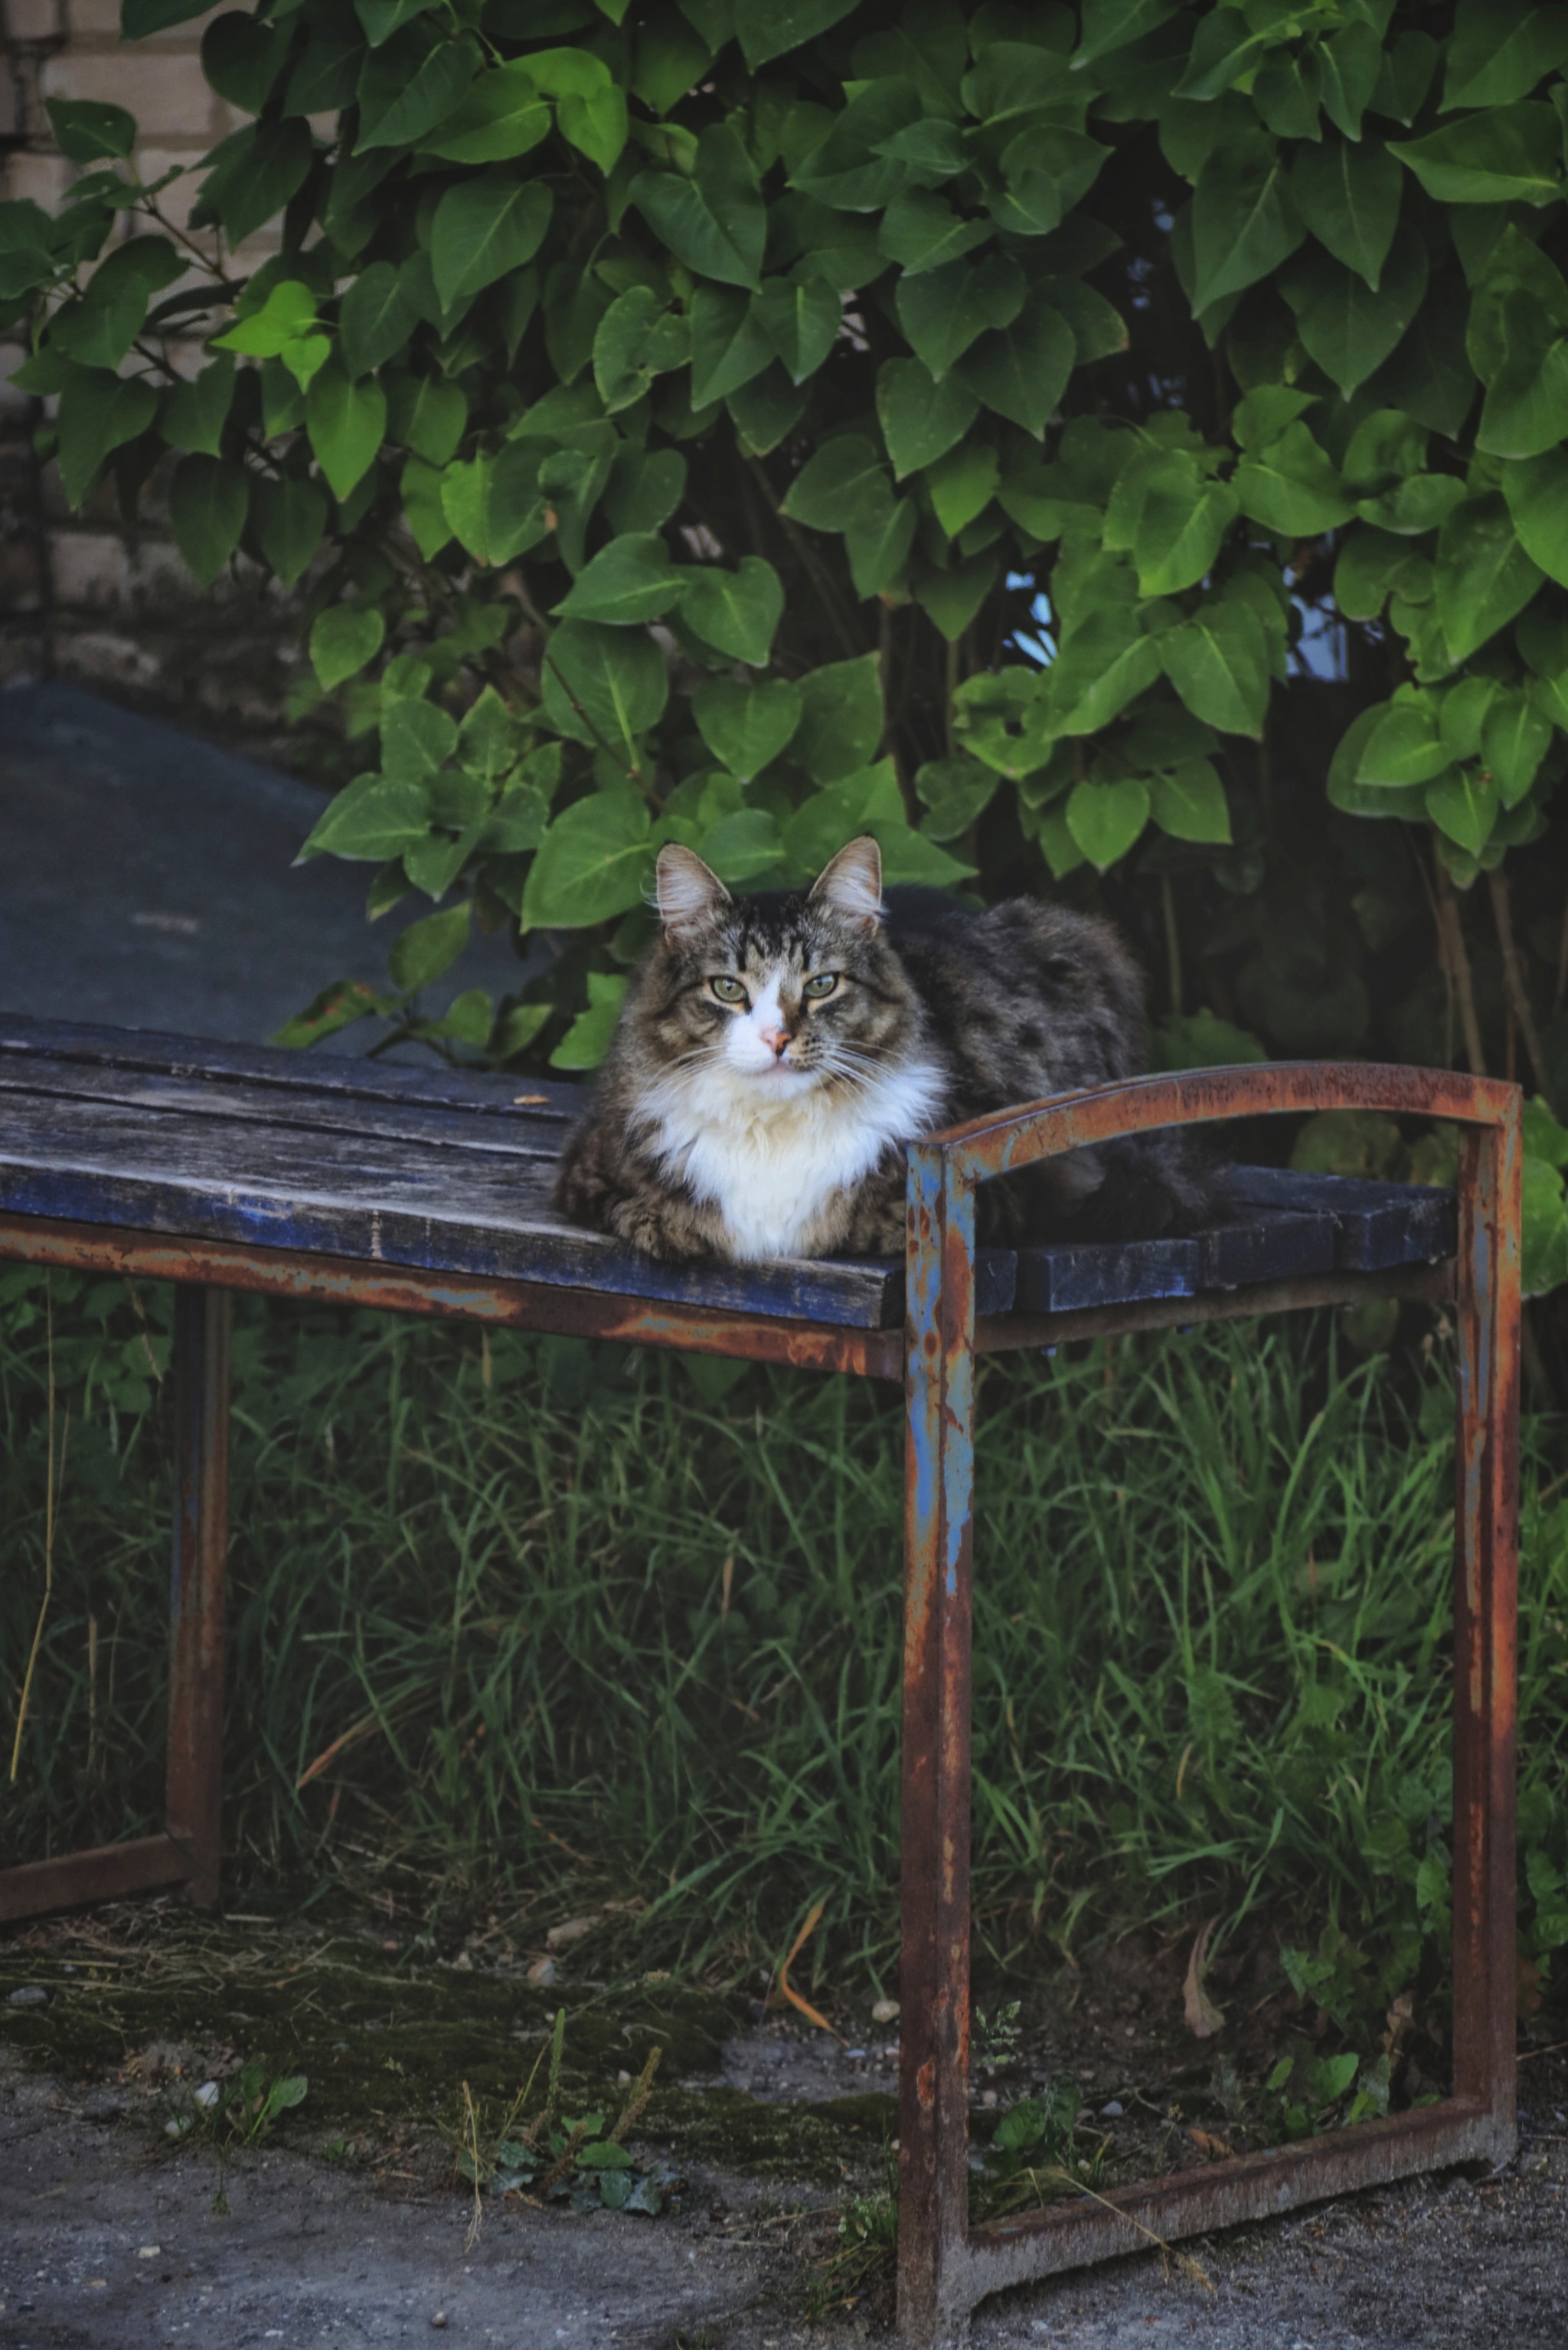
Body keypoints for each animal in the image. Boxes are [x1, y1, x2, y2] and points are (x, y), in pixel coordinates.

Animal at [554, 832, 1222, 1269]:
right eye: (727, 989)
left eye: (822, 984)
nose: (777, 1038)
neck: (772, 1130)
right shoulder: (587, 1171)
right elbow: (645, 1215)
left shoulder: (1014, 1195)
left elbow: (862, 1221)